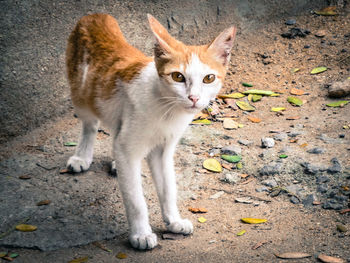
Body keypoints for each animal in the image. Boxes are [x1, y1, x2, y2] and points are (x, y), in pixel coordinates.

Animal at [65, 13, 235, 251]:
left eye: (208, 78)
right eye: (177, 77)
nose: (193, 98)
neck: (167, 110)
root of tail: (96, 16)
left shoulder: (163, 150)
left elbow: (168, 188)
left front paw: (174, 221)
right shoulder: (129, 147)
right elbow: (135, 199)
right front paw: (141, 234)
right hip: (81, 94)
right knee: (90, 124)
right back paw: (82, 156)